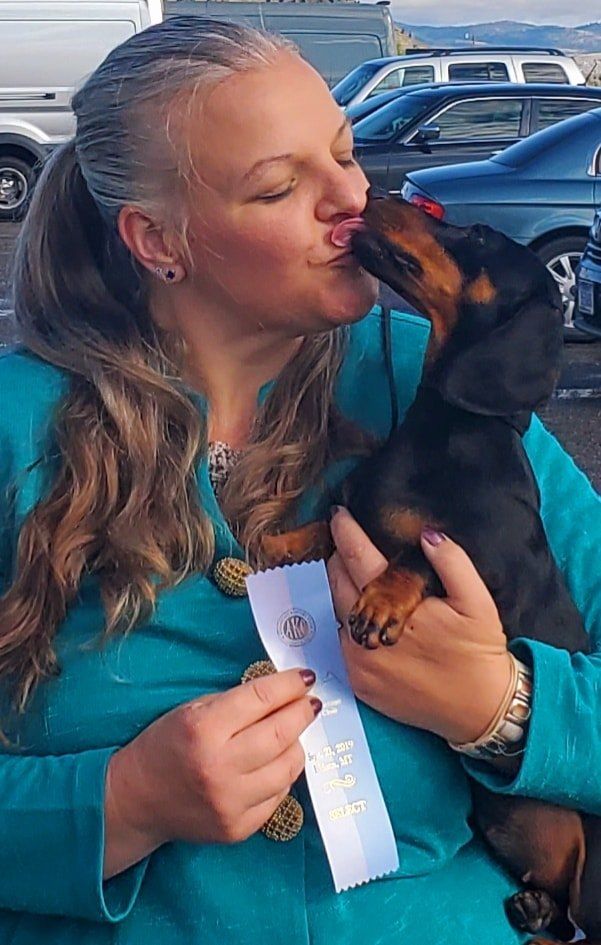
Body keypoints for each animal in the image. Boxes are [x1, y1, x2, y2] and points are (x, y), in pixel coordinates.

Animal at [262, 196, 598, 944]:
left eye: (476, 233)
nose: (377, 195)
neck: (445, 430)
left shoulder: (495, 569)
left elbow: (418, 551)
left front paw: (382, 599)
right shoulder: (353, 507)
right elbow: (331, 518)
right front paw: (277, 539)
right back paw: (533, 908)